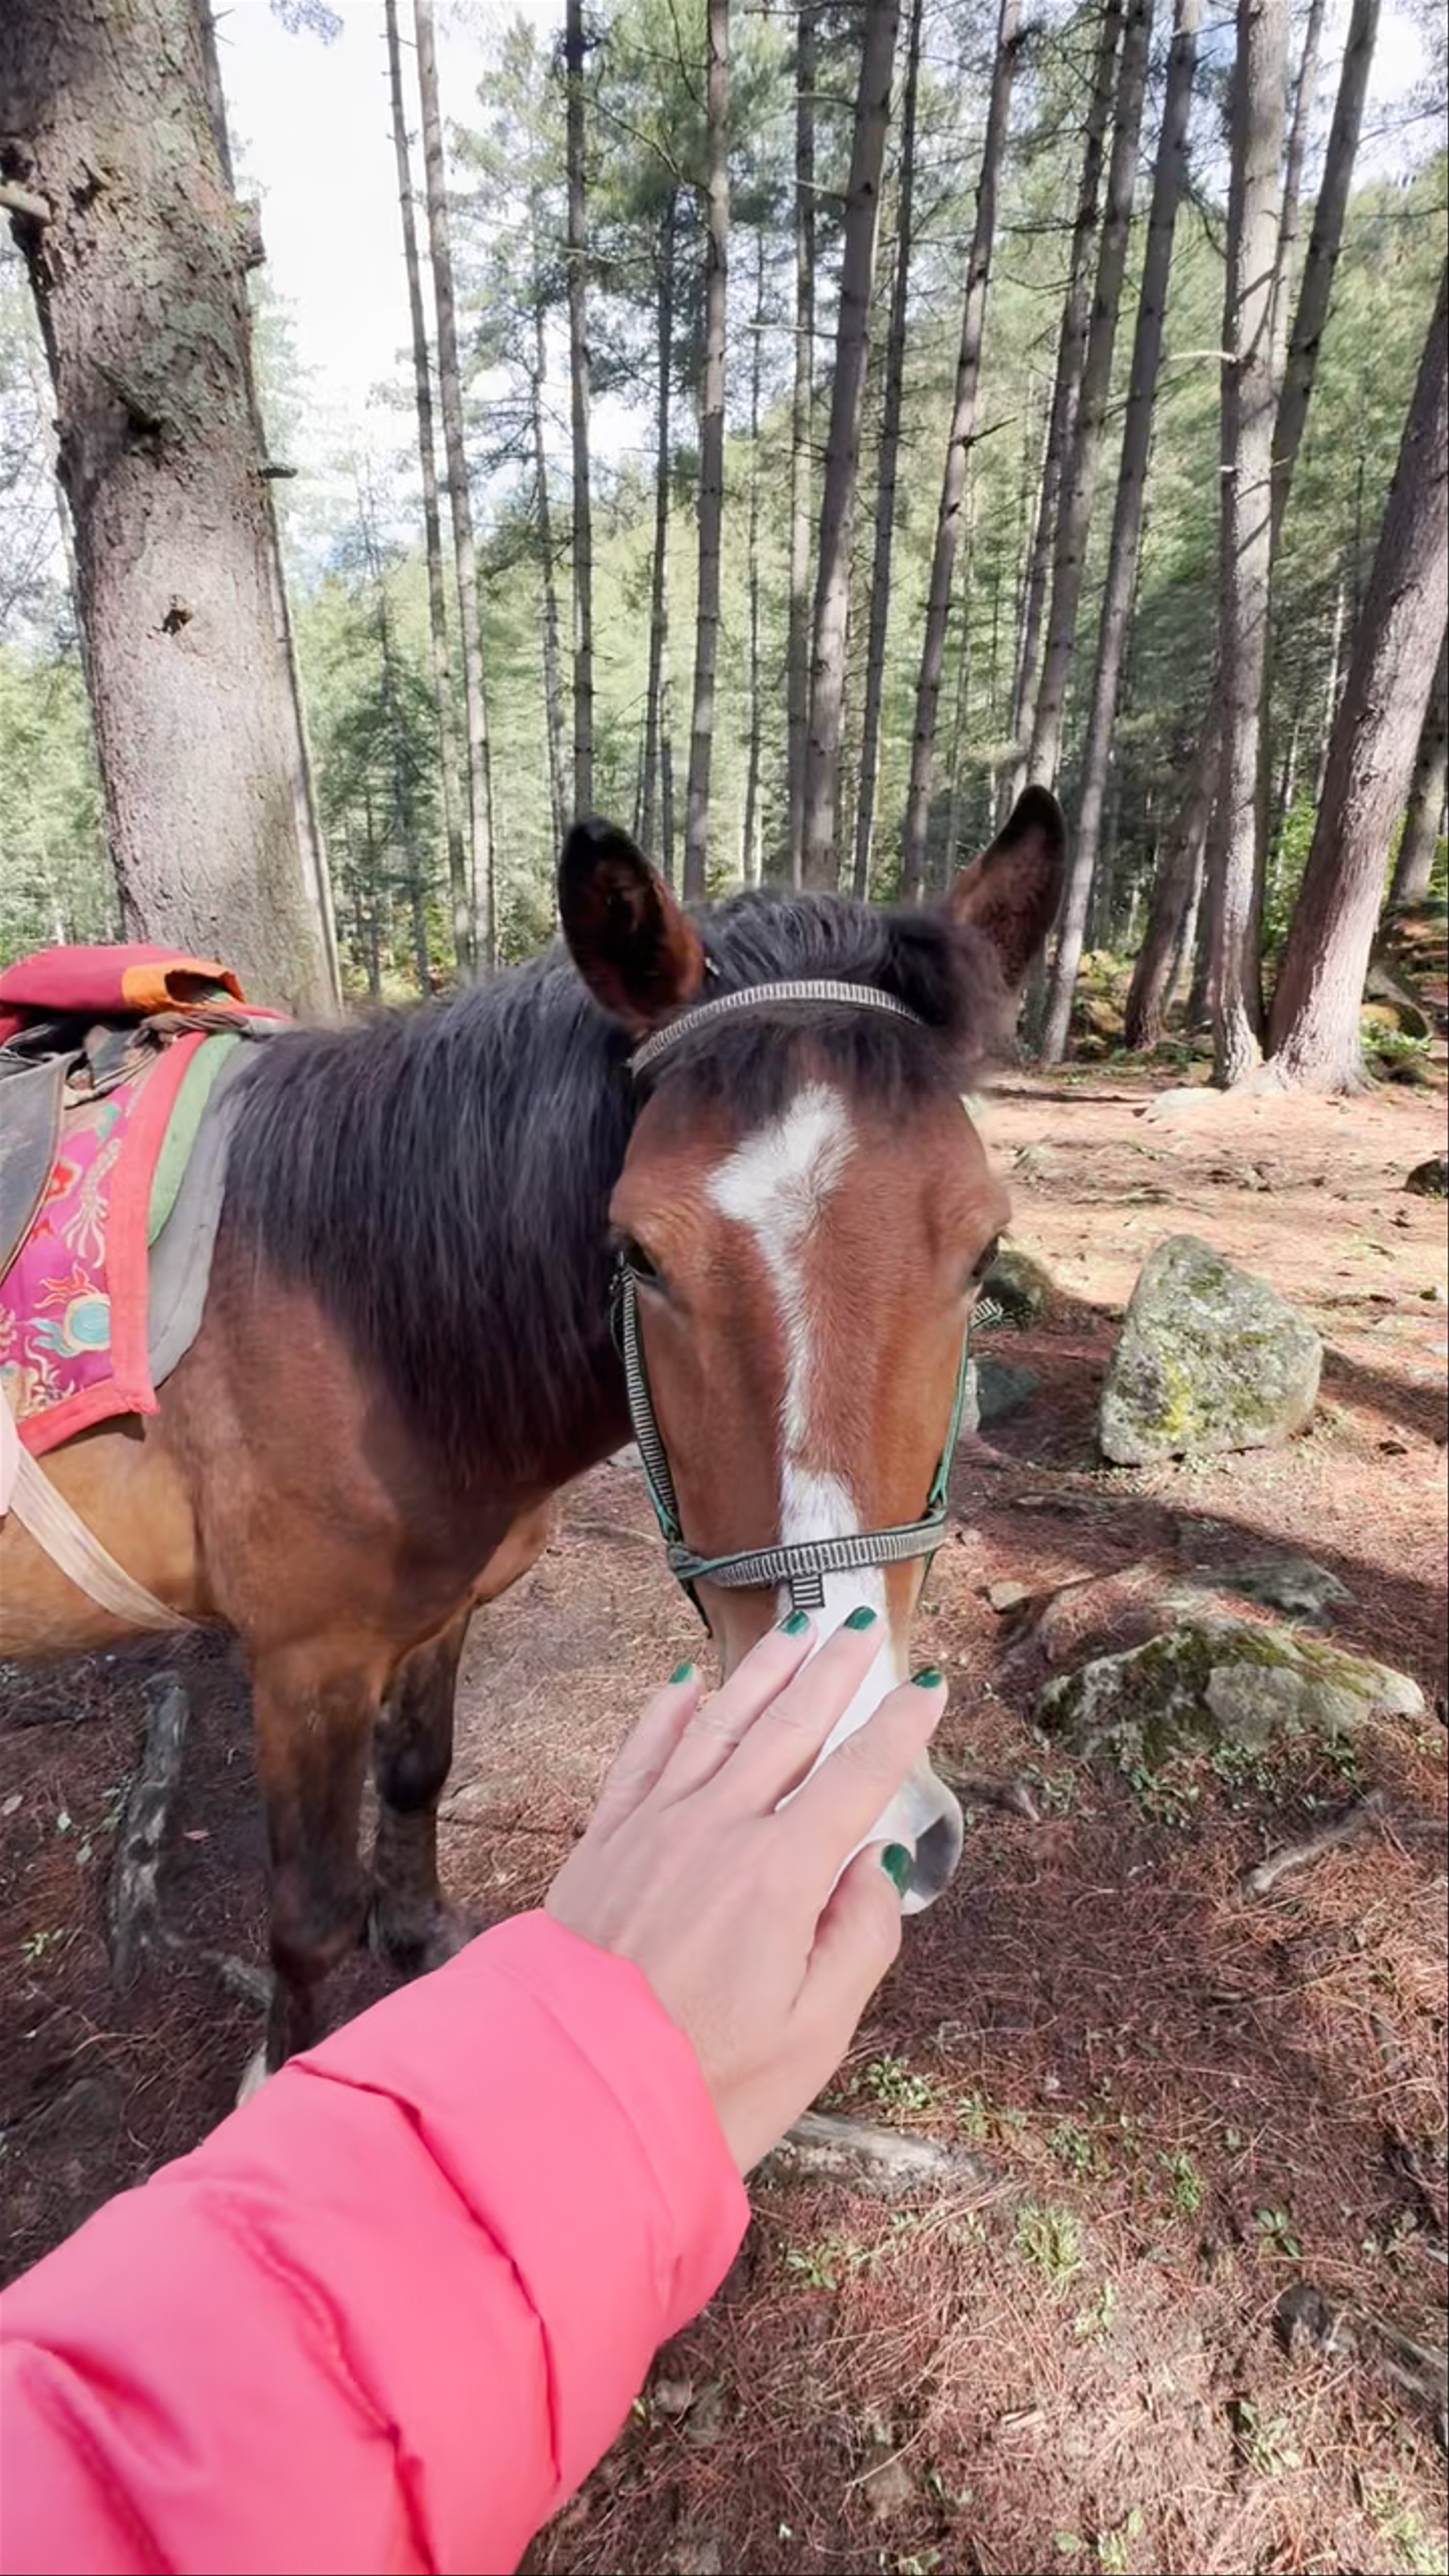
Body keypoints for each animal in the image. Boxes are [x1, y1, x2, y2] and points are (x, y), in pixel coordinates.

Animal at [0, 790, 1066, 2080]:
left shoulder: (439, 1613)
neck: (357, 1308)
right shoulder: (304, 1662)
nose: (848, 1816)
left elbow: (420, 1777)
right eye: (639, 1255)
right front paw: (285, 2064)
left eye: (985, 1251)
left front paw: (422, 1943)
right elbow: (309, 1917)